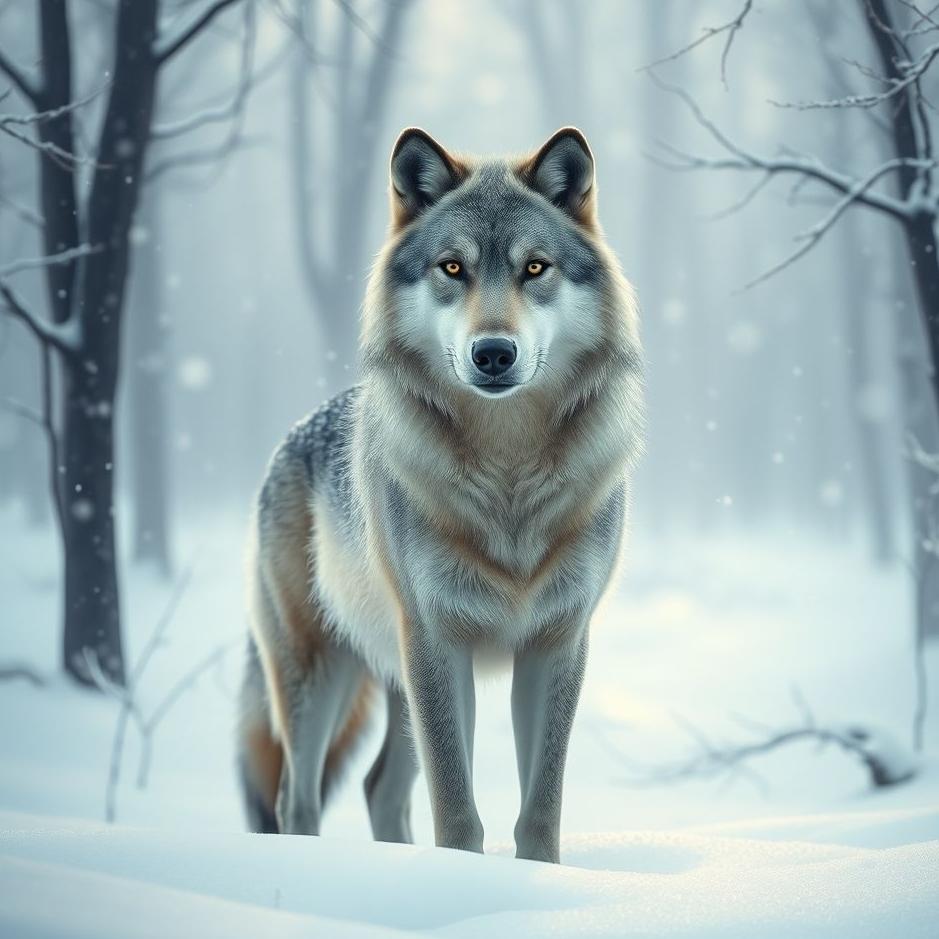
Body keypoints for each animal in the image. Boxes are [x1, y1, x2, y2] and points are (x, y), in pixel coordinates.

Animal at [237, 126, 643, 863]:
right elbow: (456, 809)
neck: (508, 474)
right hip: (319, 674)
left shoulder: (557, 642)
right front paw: (461, 872)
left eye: (534, 268)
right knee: (295, 797)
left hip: (391, 680)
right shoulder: (435, 639)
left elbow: (538, 808)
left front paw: (538, 872)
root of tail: (293, 434)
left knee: (378, 788)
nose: (493, 353)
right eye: (452, 268)